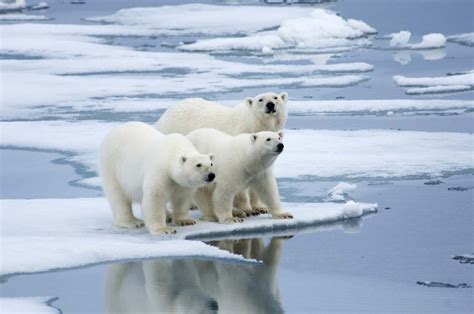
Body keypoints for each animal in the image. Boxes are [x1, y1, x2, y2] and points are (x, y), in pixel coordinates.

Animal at [156, 91, 288, 216]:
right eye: (260, 99)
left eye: (275, 97)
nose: (270, 105)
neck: (251, 123)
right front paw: (247, 209)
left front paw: (260, 207)